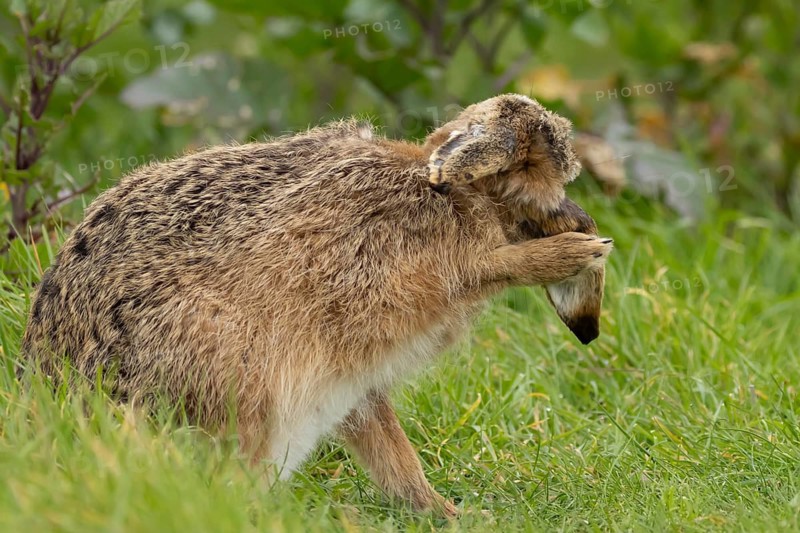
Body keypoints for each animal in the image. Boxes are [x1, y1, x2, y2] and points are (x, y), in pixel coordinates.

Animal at [21, 94, 612, 516]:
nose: (579, 218)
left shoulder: (353, 380)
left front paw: (446, 513)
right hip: (232, 376)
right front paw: (573, 254)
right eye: (536, 171)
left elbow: (390, 448)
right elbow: (487, 264)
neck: (446, 193)